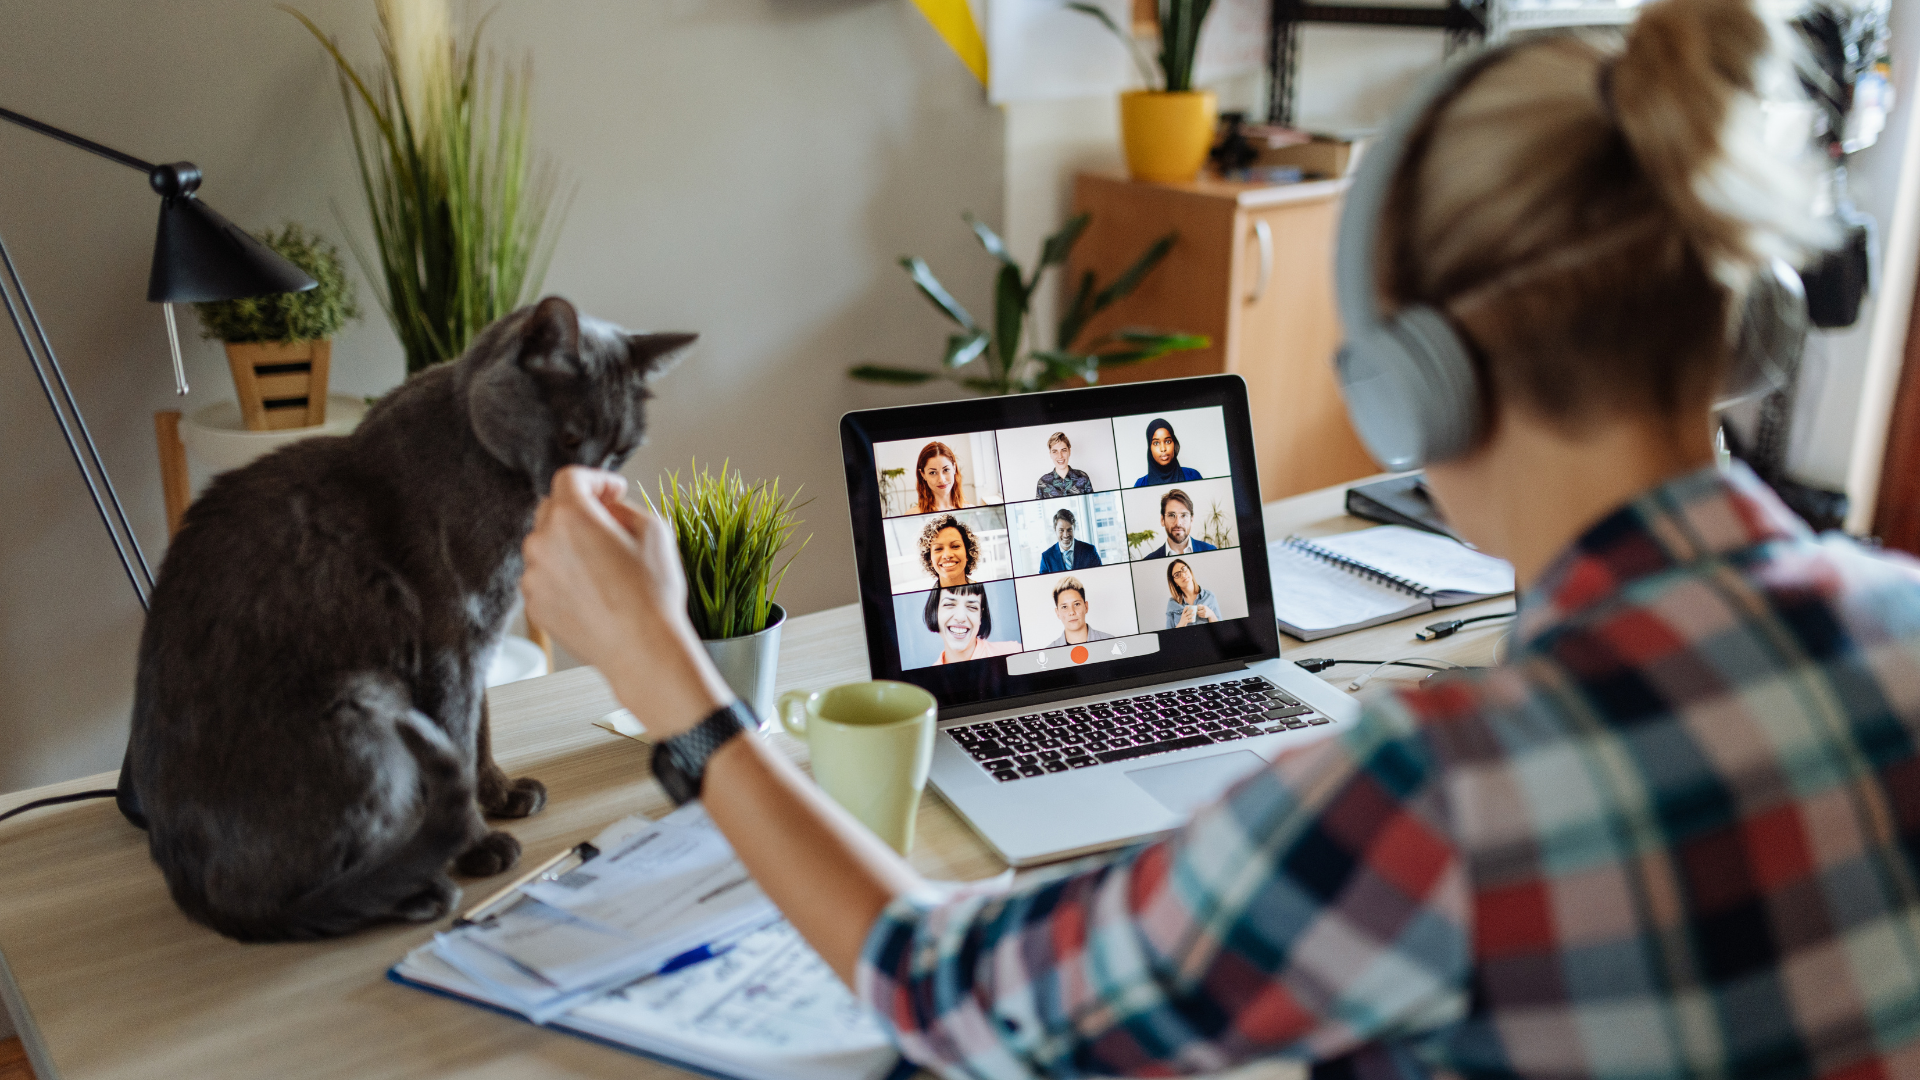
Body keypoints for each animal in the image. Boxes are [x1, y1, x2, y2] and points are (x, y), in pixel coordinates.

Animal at [121, 295, 691, 941]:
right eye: (571, 436)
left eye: (621, 450)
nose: (595, 482)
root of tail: (189, 891)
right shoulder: (451, 639)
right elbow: (457, 736)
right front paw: (478, 844)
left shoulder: (480, 639)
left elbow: (479, 727)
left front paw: (500, 792)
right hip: (366, 703)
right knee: (297, 896)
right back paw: (418, 886)